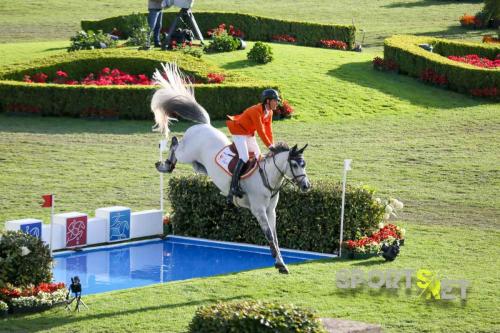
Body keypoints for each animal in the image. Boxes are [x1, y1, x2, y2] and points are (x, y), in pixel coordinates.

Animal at [150, 63, 310, 274]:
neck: (267, 178)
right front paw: (281, 264)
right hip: (187, 153)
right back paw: (165, 165)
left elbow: (275, 237)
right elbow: (269, 235)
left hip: (199, 165)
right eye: (294, 164)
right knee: (176, 144)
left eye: (304, 164)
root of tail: (204, 125)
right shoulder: (259, 210)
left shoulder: (271, 211)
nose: (306, 186)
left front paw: (279, 261)